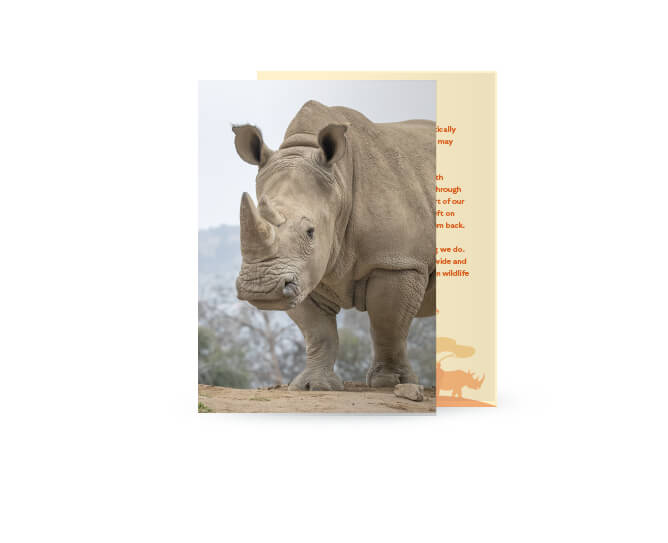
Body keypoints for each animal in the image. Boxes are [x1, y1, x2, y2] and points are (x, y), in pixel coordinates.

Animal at [232, 100, 435, 390]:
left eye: (310, 232)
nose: (260, 288)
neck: (339, 183)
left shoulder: (399, 261)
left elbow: (387, 324)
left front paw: (388, 382)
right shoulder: (303, 271)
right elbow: (318, 332)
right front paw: (314, 385)